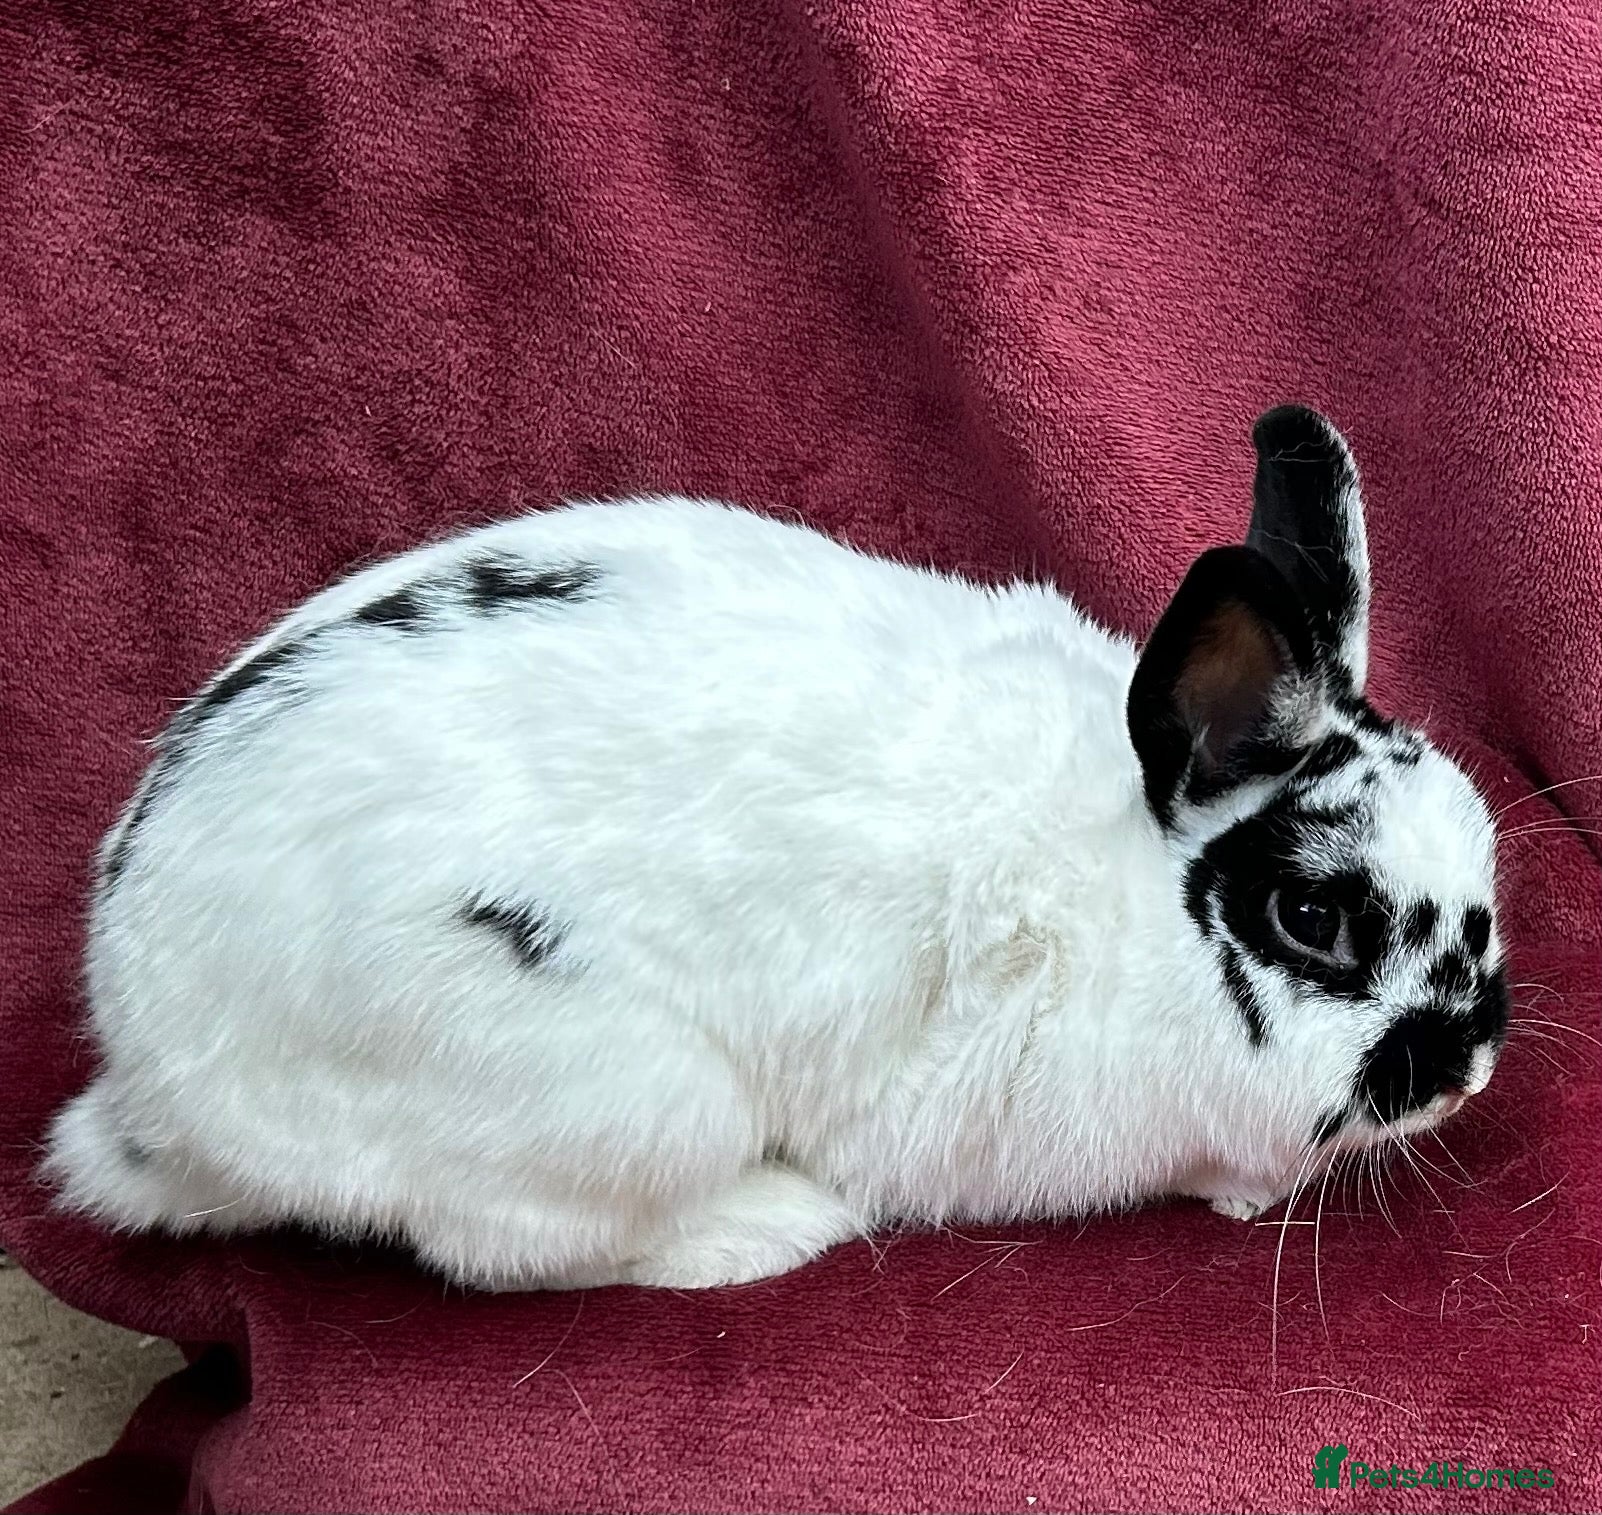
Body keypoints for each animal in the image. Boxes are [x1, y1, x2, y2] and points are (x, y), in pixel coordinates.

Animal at [45, 404, 1509, 1290]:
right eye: (1311, 919)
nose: (1467, 1067)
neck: (1130, 896)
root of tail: (153, 1087)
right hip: (617, 1098)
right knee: (511, 1246)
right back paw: (775, 1222)